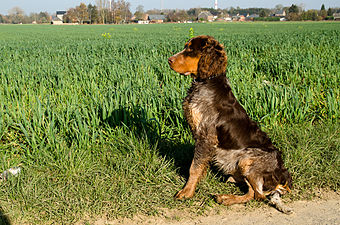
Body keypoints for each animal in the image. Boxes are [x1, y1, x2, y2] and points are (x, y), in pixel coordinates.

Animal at [167, 35, 292, 214]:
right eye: (186, 46)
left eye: (191, 49)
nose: (169, 60)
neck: (206, 82)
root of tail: (283, 175)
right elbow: (200, 165)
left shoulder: (206, 136)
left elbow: (194, 167)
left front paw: (187, 192)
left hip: (246, 159)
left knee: (257, 195)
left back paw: (225, 198)